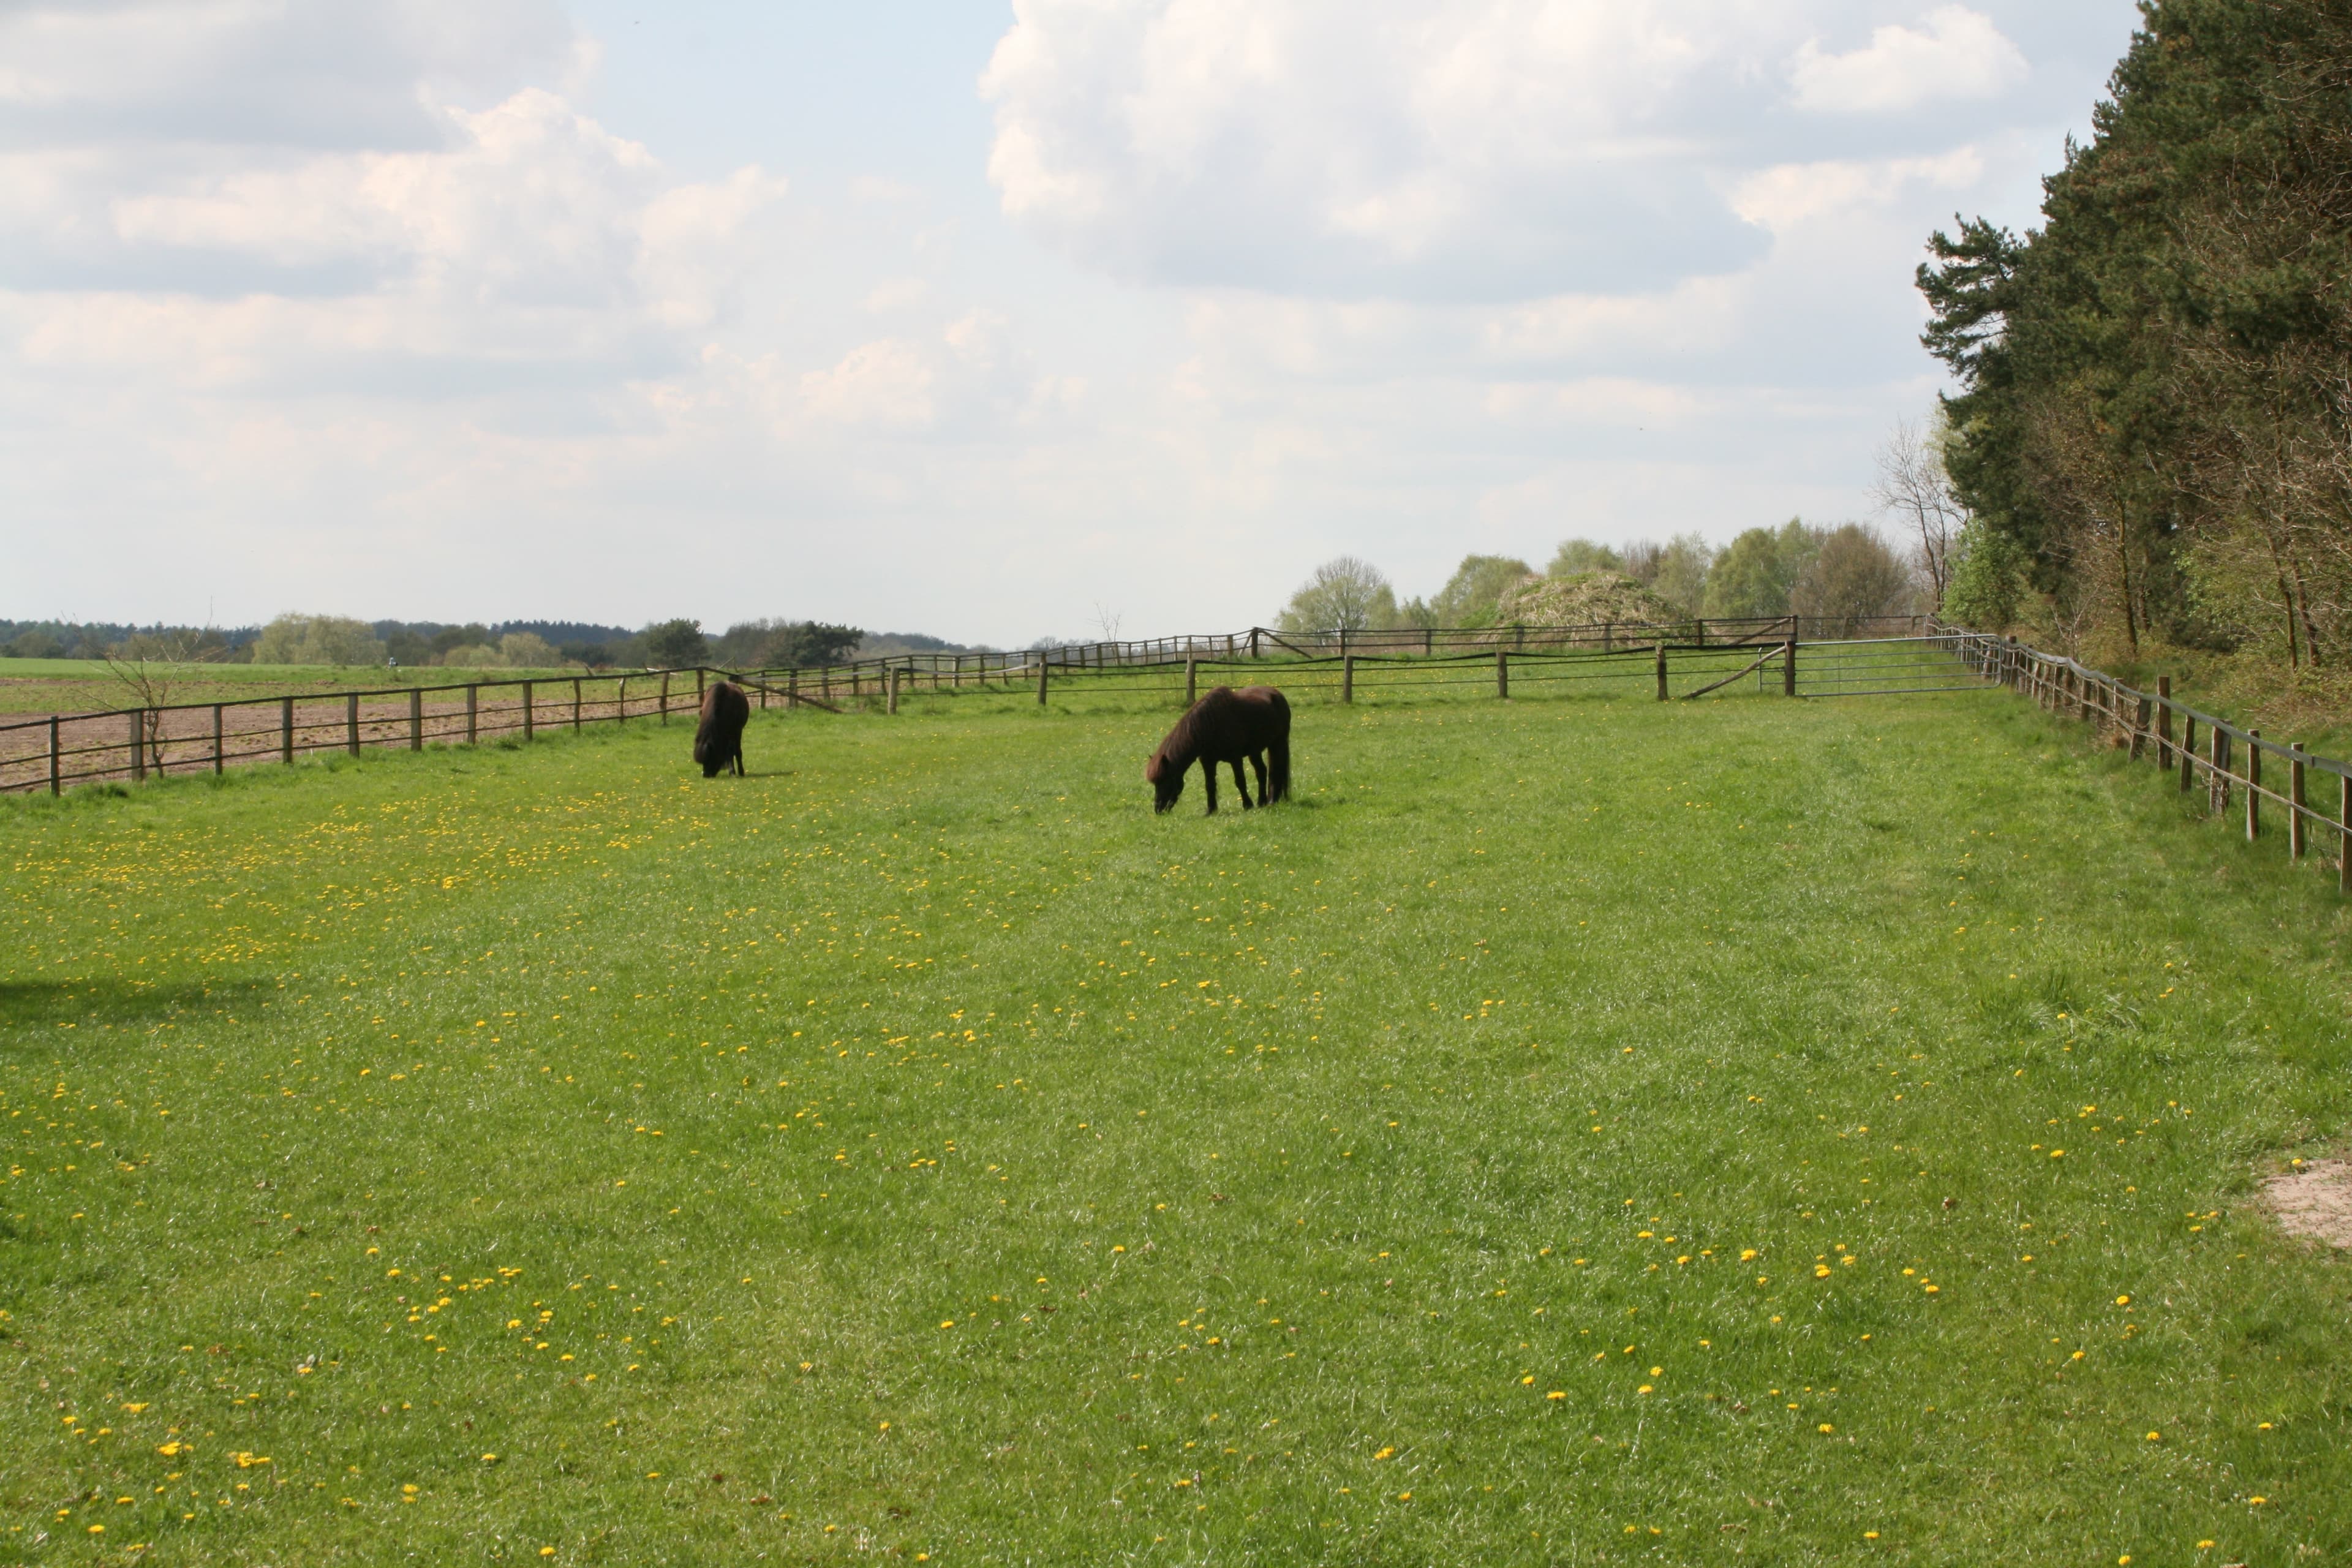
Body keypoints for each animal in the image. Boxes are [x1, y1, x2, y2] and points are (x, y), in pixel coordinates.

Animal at [691, 682, 748, 780]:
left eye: (711, 757)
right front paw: (732, 771)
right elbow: (729, 752)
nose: (706, 775)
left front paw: (740, 772)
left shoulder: (737, 732)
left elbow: (737, 752)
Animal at [1143, 686, 1289, 818]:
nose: (1158, 809)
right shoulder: (1208, 762)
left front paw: (1247, 805)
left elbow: (1240, 781)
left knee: (1276, 770)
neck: (1210, 724)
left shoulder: (1235, 759)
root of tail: (1277, 694)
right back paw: (1262, 802)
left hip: (1278, 743)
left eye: (1165, 780)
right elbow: (1210, 785)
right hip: (1255, 751)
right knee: (1261, 772)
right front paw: (1210, 810)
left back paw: (1271, 801)